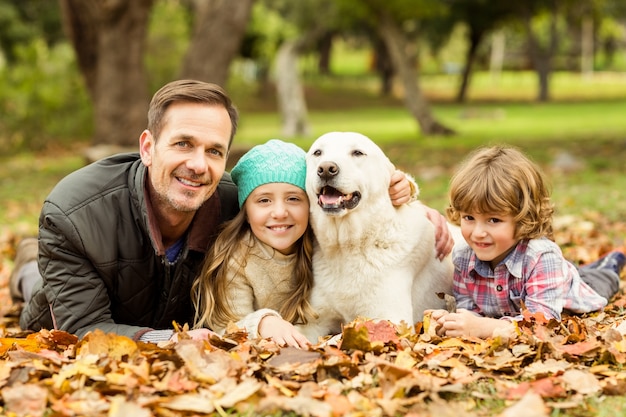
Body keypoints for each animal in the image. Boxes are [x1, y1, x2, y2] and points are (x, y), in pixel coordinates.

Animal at [298, 132, 454, 342]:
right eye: (317, 153)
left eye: (357, 153)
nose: (326, 170)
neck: (347, 246)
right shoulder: (312, 322)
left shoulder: (389, 319)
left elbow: (338, 337)